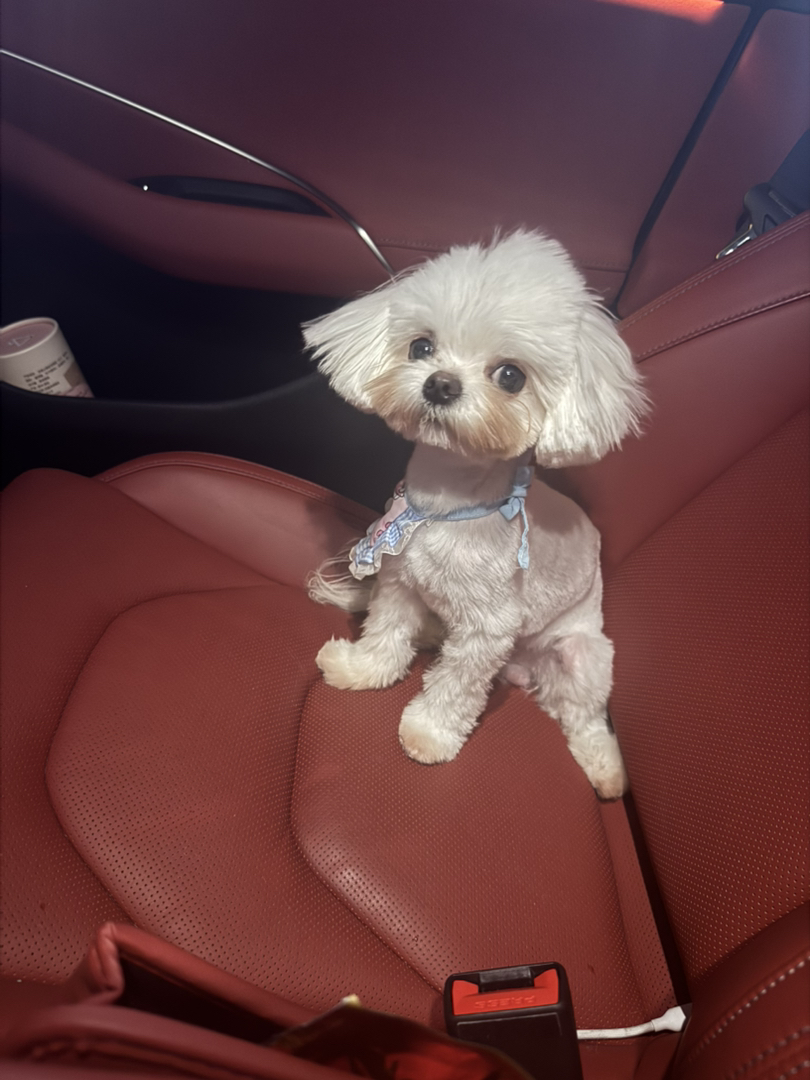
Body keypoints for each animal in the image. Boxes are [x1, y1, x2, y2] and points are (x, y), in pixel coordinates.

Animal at [303, 231, 647, 798]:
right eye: (422, 346)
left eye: (511, 376)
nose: (440, 384)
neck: (444, 507)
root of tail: (523, 673)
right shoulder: (399, 581)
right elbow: (386, 633)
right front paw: (362, 668)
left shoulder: (489, 629)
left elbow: (455, 686)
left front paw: (428, 734)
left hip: (583, 655)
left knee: (583, 717)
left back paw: (606, 768)